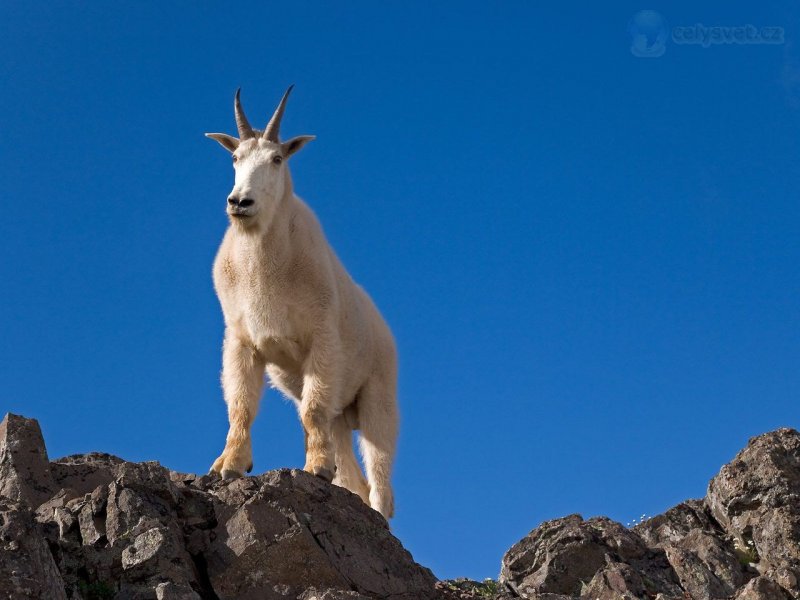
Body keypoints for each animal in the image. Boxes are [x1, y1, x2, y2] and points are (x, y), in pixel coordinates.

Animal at [205, 87, 398, 518]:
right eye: (234, 158)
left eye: (277, 159)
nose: (240, 202)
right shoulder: (240, 340)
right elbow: (241, 405)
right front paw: (229, 465)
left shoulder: (321, 338)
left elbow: (311, 409)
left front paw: (315, 469)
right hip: (342, 415)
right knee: (353, 473)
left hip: (378, 395)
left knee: (380, 477)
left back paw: (379, 516)